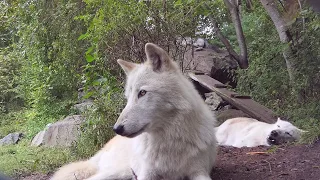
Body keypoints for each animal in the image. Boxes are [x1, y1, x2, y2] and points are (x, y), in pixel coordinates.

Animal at [51, 43, 219, 180]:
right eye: (128, 97)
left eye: (142, 93)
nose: (117, 128)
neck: (169, 140)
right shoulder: (146, 173)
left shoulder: (200, 171)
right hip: (119, 171)